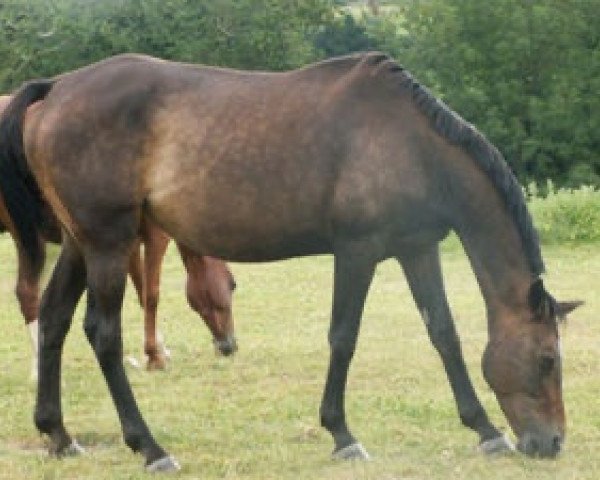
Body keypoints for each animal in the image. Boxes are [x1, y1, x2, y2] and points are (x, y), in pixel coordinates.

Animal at [0, 94, 239, 376]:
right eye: (232, 284)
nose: (230, 345)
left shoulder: (126, 243)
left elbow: (138, 289)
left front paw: (156, 350)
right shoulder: (155, 237)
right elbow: (151, 294)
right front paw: (154, 356)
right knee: (27, 292)